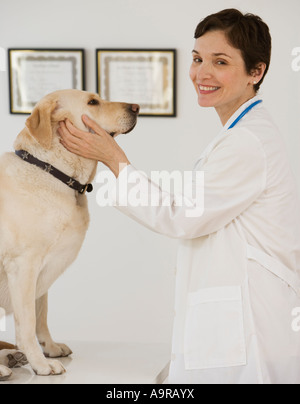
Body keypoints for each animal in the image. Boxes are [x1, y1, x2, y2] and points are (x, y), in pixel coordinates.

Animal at [0, 90, 139, 380]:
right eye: (93, 102)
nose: (137, 107)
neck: (53, 173)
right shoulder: (23, 265)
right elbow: (27, 322)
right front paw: (40, 363)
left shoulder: (42, 270)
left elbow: (41, 315)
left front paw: (50, 348)